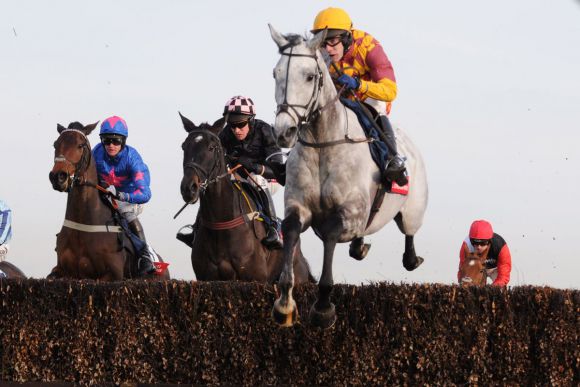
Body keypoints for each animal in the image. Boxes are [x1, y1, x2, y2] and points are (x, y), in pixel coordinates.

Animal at [48, 121, 169, 282]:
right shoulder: (61, 271)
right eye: (55, 144)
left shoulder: (113, 274)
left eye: (80, 145)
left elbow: (144, 192)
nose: (58, 177)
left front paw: (112, 190)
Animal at [178, 113, 312, 284]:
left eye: (211, 148)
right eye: (184, 146)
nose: (189, 188)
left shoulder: (254, 278)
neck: (220, 226)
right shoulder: (206, 278)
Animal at [270, 25, 428, 328]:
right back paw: (361, 248)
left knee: (409, 233)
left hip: (414, 207)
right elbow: (291, 230)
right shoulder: (298, 207)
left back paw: (412, 258)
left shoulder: (352, 215)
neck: (323, 144)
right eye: (276, 73)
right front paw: (284, 305)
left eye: (309, 76)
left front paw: (323, 308)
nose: (284, 131)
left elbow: (330, 235)